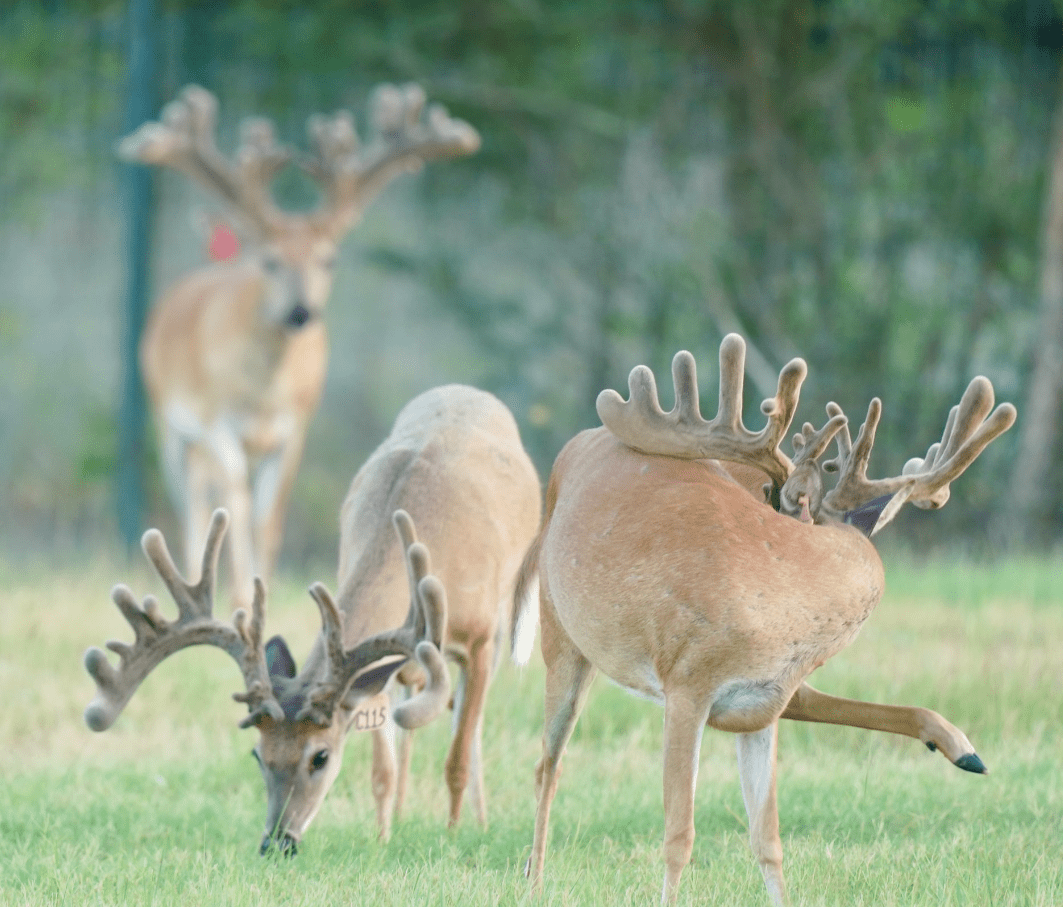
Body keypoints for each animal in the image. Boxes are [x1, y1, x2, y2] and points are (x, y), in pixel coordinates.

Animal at [85, 384, 541, 851]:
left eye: (320, 756)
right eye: (258, 754)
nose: (277, 842)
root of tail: (465, 391)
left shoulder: (479, 639)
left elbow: (458, 757)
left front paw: (452, 835)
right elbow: (382, 769)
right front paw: (382, 840)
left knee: (469, 729)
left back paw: (477, 820)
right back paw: (401, 813)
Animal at [120, 82, 480, 610]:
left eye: (328, 259)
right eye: (269, 260)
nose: (301, 312)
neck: (264, 391)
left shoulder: (295, 426)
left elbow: (268, 518)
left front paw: (259, 589)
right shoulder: (215, 421)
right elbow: (235, 507)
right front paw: (241, 598)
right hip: (171, 424)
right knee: (194, 503)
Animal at [513, 334, 1015, 905]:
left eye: (771, 498)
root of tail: (569, 453)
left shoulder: (763, 703)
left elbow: (767, 837)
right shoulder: (688, 681)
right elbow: (679, 834)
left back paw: (964, 749)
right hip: (561, 639)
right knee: (547, 764)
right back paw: (535, 881)